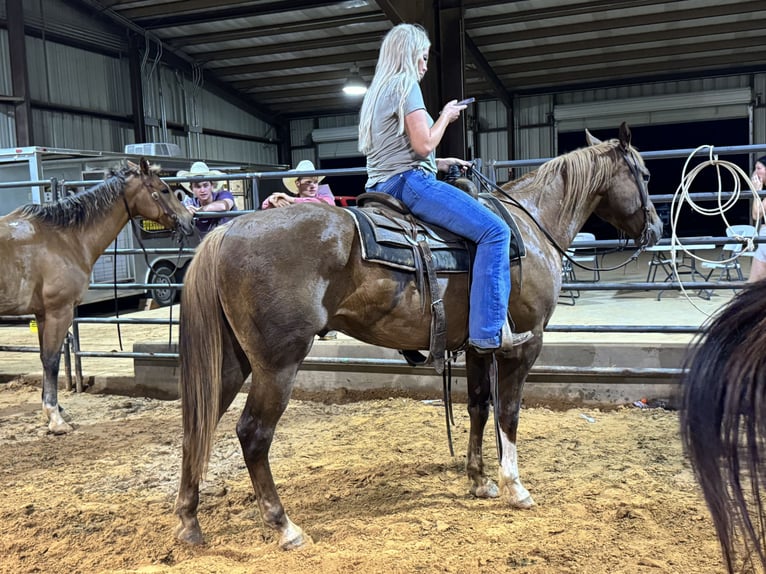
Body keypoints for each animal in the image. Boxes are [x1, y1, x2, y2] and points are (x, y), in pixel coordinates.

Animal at [0, 160, 192, 434]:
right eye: (165, 190)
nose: (190, 220)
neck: (63, 238)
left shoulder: (43, 314)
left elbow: (45, 359)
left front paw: (58, 412)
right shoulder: (59, 312)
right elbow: (51, 360)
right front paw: (55, 419)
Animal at [176, 125, 664, 548]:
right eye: (643, 175)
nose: (656, 229)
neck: (530, 227)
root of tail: (229, 231)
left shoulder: (477, 347)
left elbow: (478, 407)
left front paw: (478, 480)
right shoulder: (525, 347)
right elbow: (508, 413)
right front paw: (514, 486)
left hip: (233, 361)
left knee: (197, 424)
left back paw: (189, 521)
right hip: (277, 364)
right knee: (253, 435)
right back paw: (285, 527)